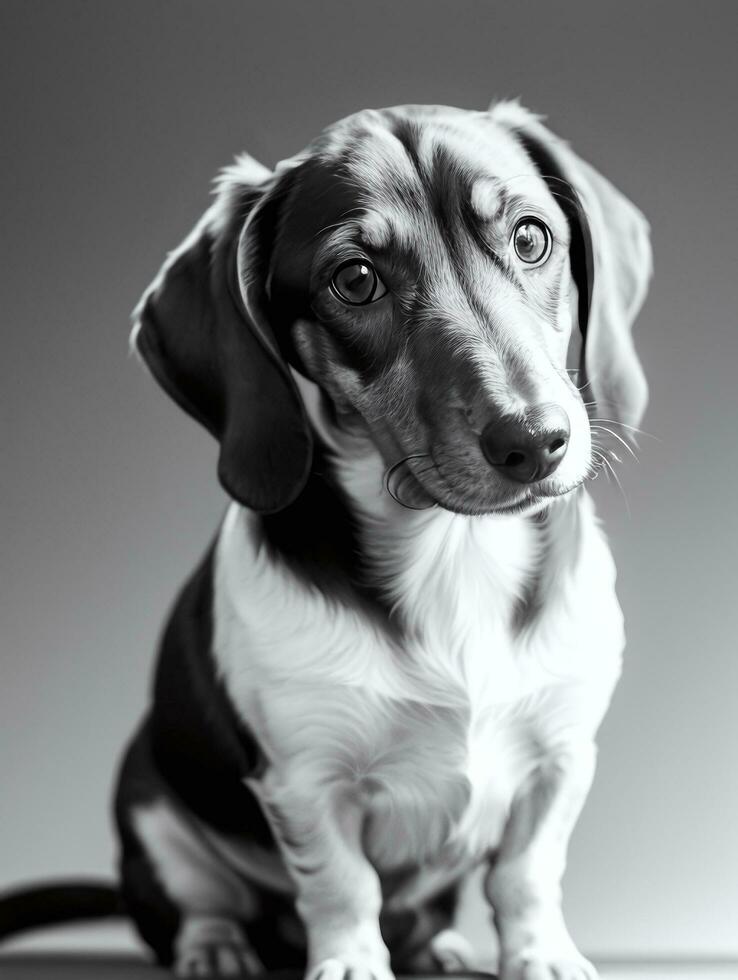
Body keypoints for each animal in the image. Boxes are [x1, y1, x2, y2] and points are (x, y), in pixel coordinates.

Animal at [110, 101, 648, 980]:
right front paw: (351, 963)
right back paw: (218, 948)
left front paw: (541, 954)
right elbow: (341, 886)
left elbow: (527, 874)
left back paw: (441, 948)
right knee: (202, 901)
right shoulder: (306, 779)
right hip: (152, 804)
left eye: (531, 238)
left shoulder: (563, 756)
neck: (454, 551)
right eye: (356, 279)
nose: (535, 442)